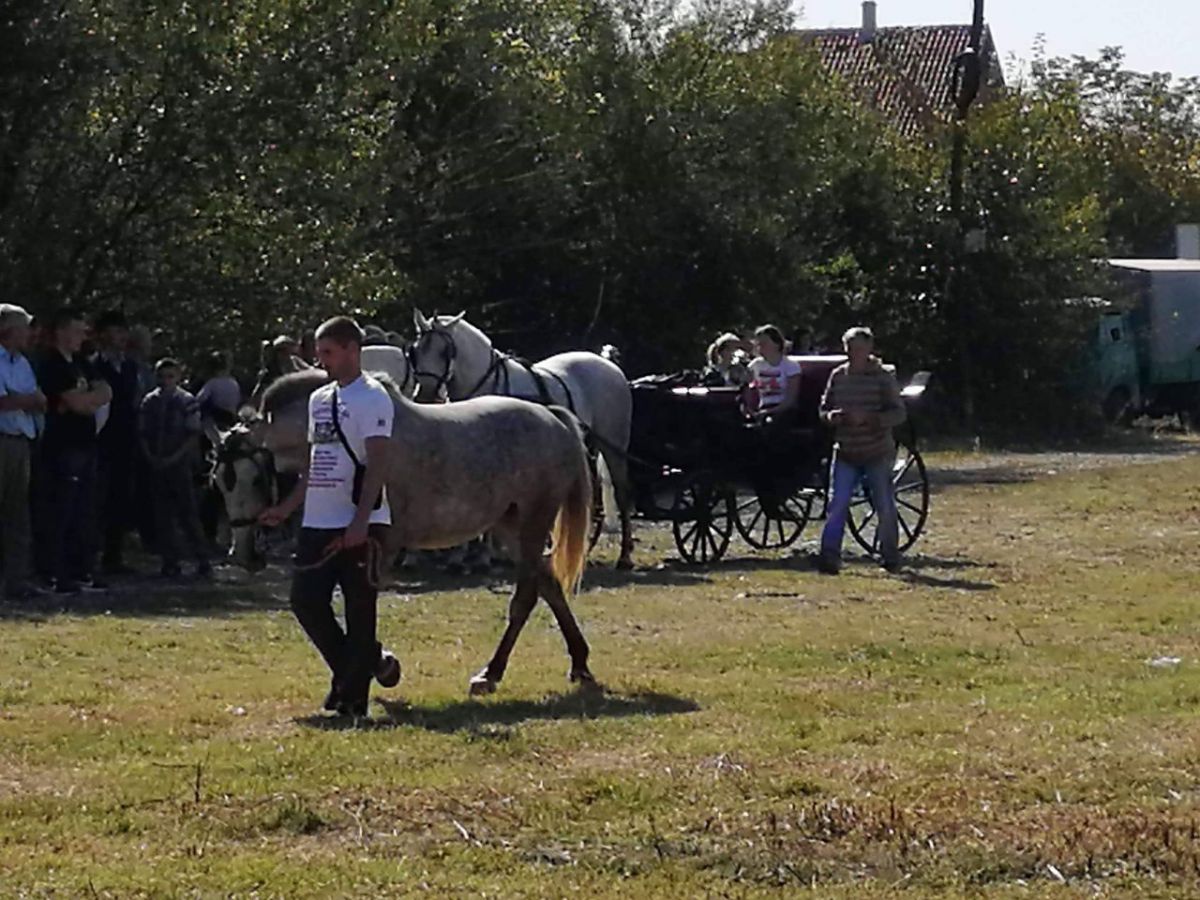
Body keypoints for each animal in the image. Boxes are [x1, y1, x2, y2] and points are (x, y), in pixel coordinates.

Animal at [217, 367, 595, 696]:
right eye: (220, 481)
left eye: (254, 478)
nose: (243, 555)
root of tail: (552, 418)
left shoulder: (381, 546)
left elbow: (361, 610)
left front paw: (380, 667)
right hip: (509, 526)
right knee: (549, 584)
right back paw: (578, 663)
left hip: (533, 521)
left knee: (526, 597)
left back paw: (491, 674)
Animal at [410, 309, 638, 571]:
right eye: (415, 350)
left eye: (444, 352)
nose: (425, 394)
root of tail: (609, 365)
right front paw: (460, 556)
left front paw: (483, 556)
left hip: (615, 446)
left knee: (622, 493)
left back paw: (624, 556)